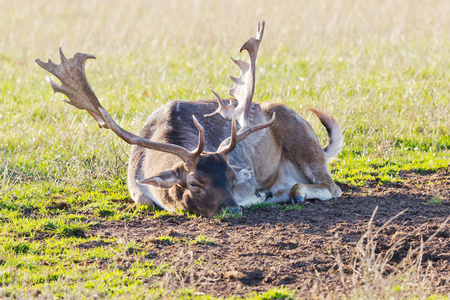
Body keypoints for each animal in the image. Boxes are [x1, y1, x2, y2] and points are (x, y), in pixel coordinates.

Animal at [36, 21, 344, 218]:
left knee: (331, 186)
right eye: (195, 182)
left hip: (296, 130)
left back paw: (293, 192)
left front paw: (258, 196)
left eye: (232, 177)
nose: (233, 209)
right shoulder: (137, 191)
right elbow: (145, 201)